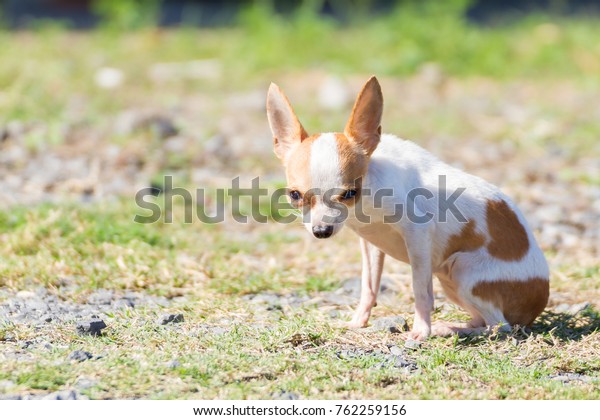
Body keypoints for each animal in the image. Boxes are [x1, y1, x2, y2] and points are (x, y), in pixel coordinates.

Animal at [268, 76, 548, 342]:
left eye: (349, 193)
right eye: (295, 195)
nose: (321, 230)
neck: (369, 196)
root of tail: (536, 305)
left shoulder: (418, 236)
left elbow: (420, 290)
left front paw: (421, 330)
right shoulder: (371, 244)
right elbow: (369, 285)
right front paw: (358, 321)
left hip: (461, 269)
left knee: (499, 326)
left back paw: (450, 330)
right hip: (450, 279)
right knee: (487, 320)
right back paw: (456, 326)